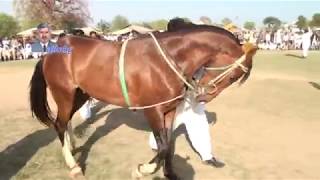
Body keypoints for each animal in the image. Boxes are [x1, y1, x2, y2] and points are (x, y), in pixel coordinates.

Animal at [28, 20, 258, 179]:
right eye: (234, 76)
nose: (203, 96)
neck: (166, 60)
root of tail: (53, 49)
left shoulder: (169, 110)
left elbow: (168, 145)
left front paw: (169, 173)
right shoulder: (153, 110)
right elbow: (163, 146)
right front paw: (142, 169)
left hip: (81, 94)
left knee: (64, 122)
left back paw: (72, 147)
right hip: (64, 94)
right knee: (59, 123)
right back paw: (73, 165)